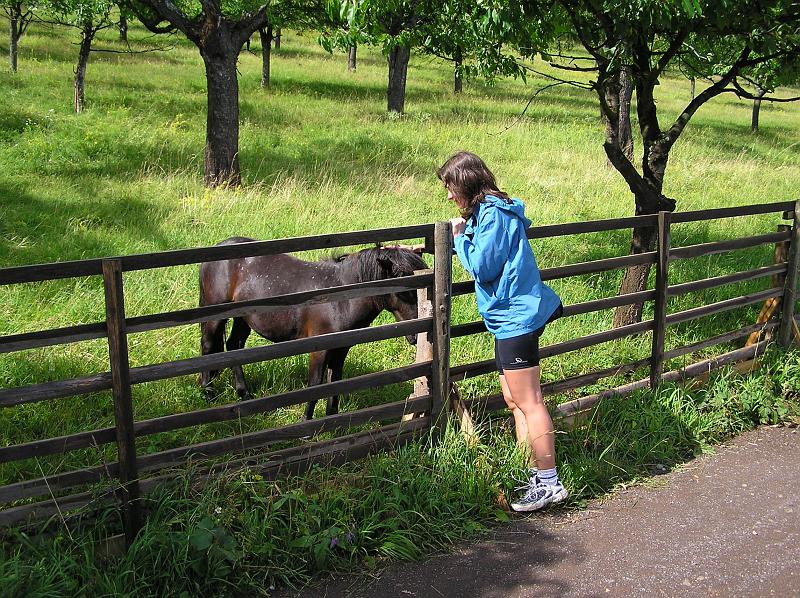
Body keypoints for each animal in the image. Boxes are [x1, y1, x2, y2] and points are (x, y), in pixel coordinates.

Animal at [198, 240, 428, 422]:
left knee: (234, 347)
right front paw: (306, 424)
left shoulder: (340, 349)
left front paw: (333, 420)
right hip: (215, 317)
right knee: (208, 347)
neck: (339, 300)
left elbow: (335, 383)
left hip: (243, 320)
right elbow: (315, 385)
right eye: (404, 290)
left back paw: (244, 394)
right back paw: (208, 394)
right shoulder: (319, 350)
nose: (416, 337)